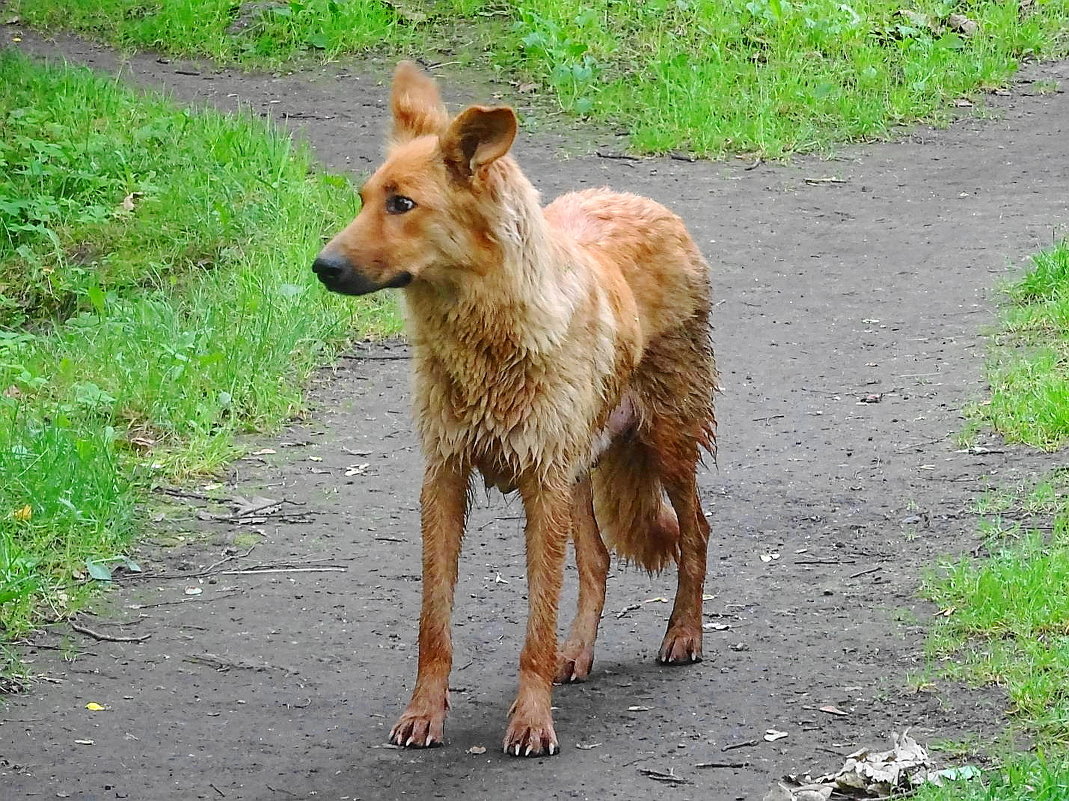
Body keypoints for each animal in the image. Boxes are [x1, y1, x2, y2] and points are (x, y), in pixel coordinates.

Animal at [314, 60, 718, 757]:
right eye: (363, 199)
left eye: (402, 204)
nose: (321, 266)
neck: (489, 337)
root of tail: (644, 201)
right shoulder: (446, 479)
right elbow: (434, 624)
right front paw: (424, 714)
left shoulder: (541, 485)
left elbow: (534, 625)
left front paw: (531, 721)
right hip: (581, 465)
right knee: (597, 561)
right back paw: (575, 654)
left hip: (665, 440)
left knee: (695, 532)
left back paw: (683, 634)